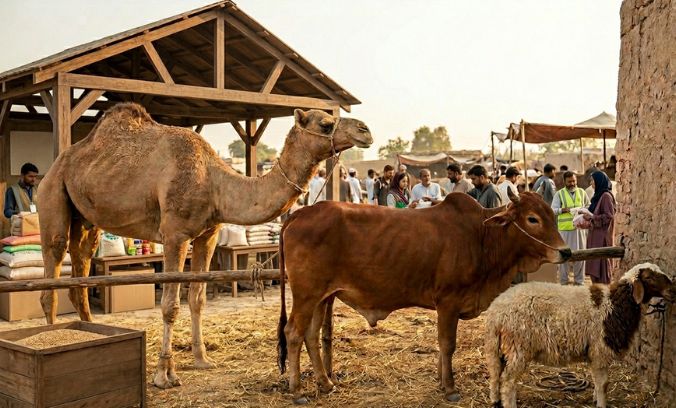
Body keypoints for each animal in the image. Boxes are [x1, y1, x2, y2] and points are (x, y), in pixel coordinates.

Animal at [37, 102, 372, 388]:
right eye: (325, 123)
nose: (365, 130)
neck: (214, 182)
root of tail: (57, 163)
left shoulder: (208, 234)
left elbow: (197, 298)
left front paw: (201, 359)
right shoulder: (175, 234)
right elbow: (170, 305)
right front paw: (164, 375)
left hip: (86, 217)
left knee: (80, 265)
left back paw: (90, 332)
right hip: (52, 193)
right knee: (53, 264)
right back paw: (52, 336)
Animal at [277, 190, 570, 404]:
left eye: (551, 215)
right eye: (532, 218)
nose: (565, 252)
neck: (481, 235)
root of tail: (299, 213)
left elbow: (442, 347)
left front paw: (442, 381)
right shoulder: (448, 302)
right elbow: (447, 344)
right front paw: (450, 388)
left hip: (322, 297)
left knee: (311, 335)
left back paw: (326, 383)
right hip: (306, 295)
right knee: (293, 333)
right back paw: (297, 391)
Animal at [484, 263, 673, 408]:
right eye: (649, 277)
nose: (673, 290)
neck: (615, 303)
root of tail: (496, 311)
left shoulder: (594, 353)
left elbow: (597, 382)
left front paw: (596, 398)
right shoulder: (600, 350)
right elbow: (604, 384)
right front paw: (601, 403)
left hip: (497, 348)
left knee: (495, 375)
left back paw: (495, 400)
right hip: (518, 347)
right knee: (508, 381)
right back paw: (509, 403)